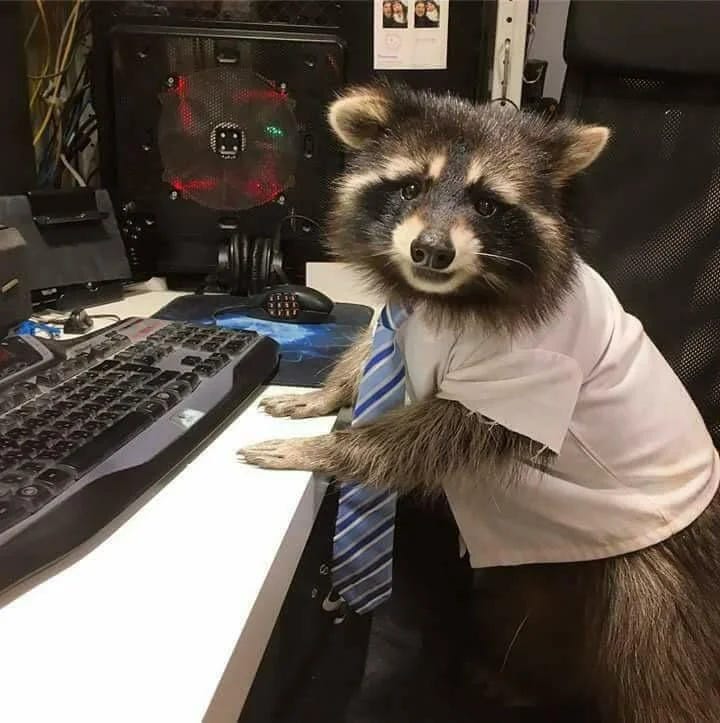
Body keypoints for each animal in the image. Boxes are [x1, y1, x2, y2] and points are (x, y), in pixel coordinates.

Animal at [240, 82, 720, 722]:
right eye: (411, 187)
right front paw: (329, 393)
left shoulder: (533, 369)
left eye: (488, 205)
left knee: (660, 660)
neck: (440, 295)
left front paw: (330, 446)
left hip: (660, 581)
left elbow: (433, 433)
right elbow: (368, 348)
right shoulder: (399, 316)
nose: (429, 251)